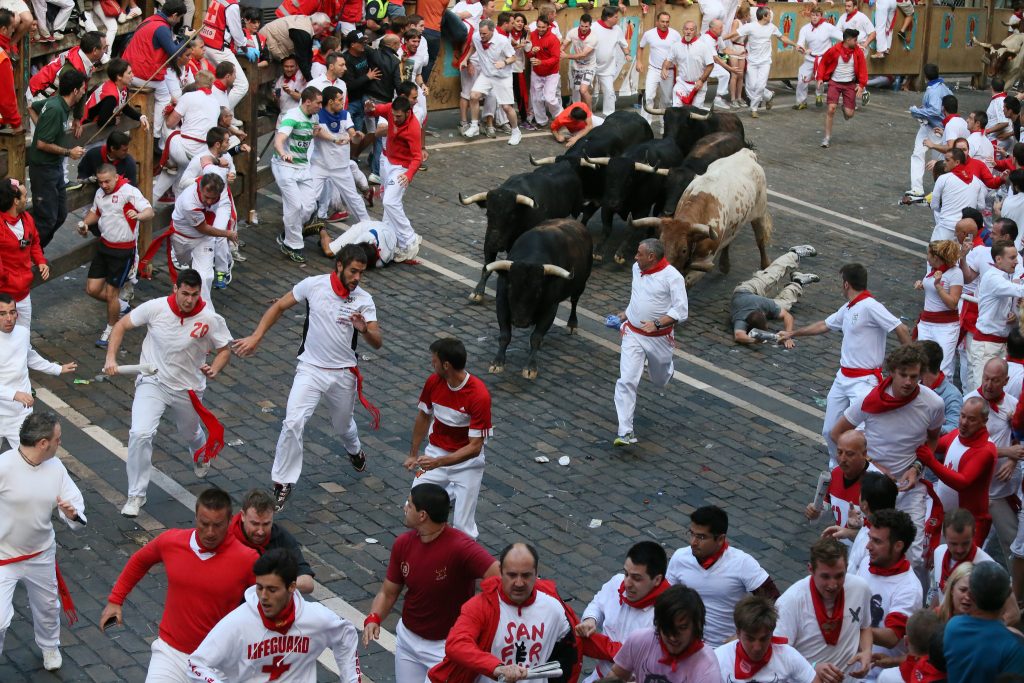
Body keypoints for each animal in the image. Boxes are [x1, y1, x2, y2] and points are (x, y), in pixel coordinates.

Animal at [485, 219, 593, 378]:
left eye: (538, 292)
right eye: (510, 287)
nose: (520, 322)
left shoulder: (550, 309)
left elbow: (536, 337)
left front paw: (530, 367)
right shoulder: (502, 302)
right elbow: (505, 335)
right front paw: (497, 363)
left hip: (581, 285)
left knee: (574, 301)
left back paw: (572, 324)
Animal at [634, 148, 770, 286]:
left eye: (683, 250)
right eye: (661, 244)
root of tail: (746, 152)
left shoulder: (704, 263)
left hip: (760, 212)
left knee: (760, 241)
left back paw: (765, 267)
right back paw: (725, 265)